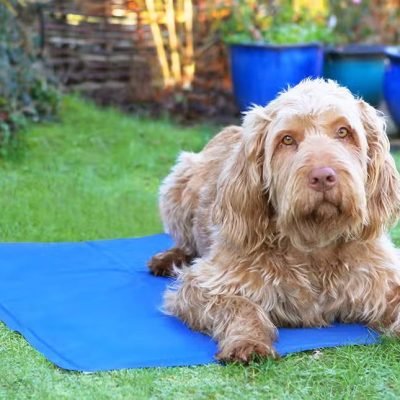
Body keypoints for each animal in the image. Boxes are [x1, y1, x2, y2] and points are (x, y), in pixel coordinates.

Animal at [147, 78, 400, 362]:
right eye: (287, 139)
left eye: (344, 132)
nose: (323, 176)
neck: (314, 243)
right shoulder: (206, 283)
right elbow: (241, 305)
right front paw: (247, 340)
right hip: (178, 180)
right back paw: (169, 258)